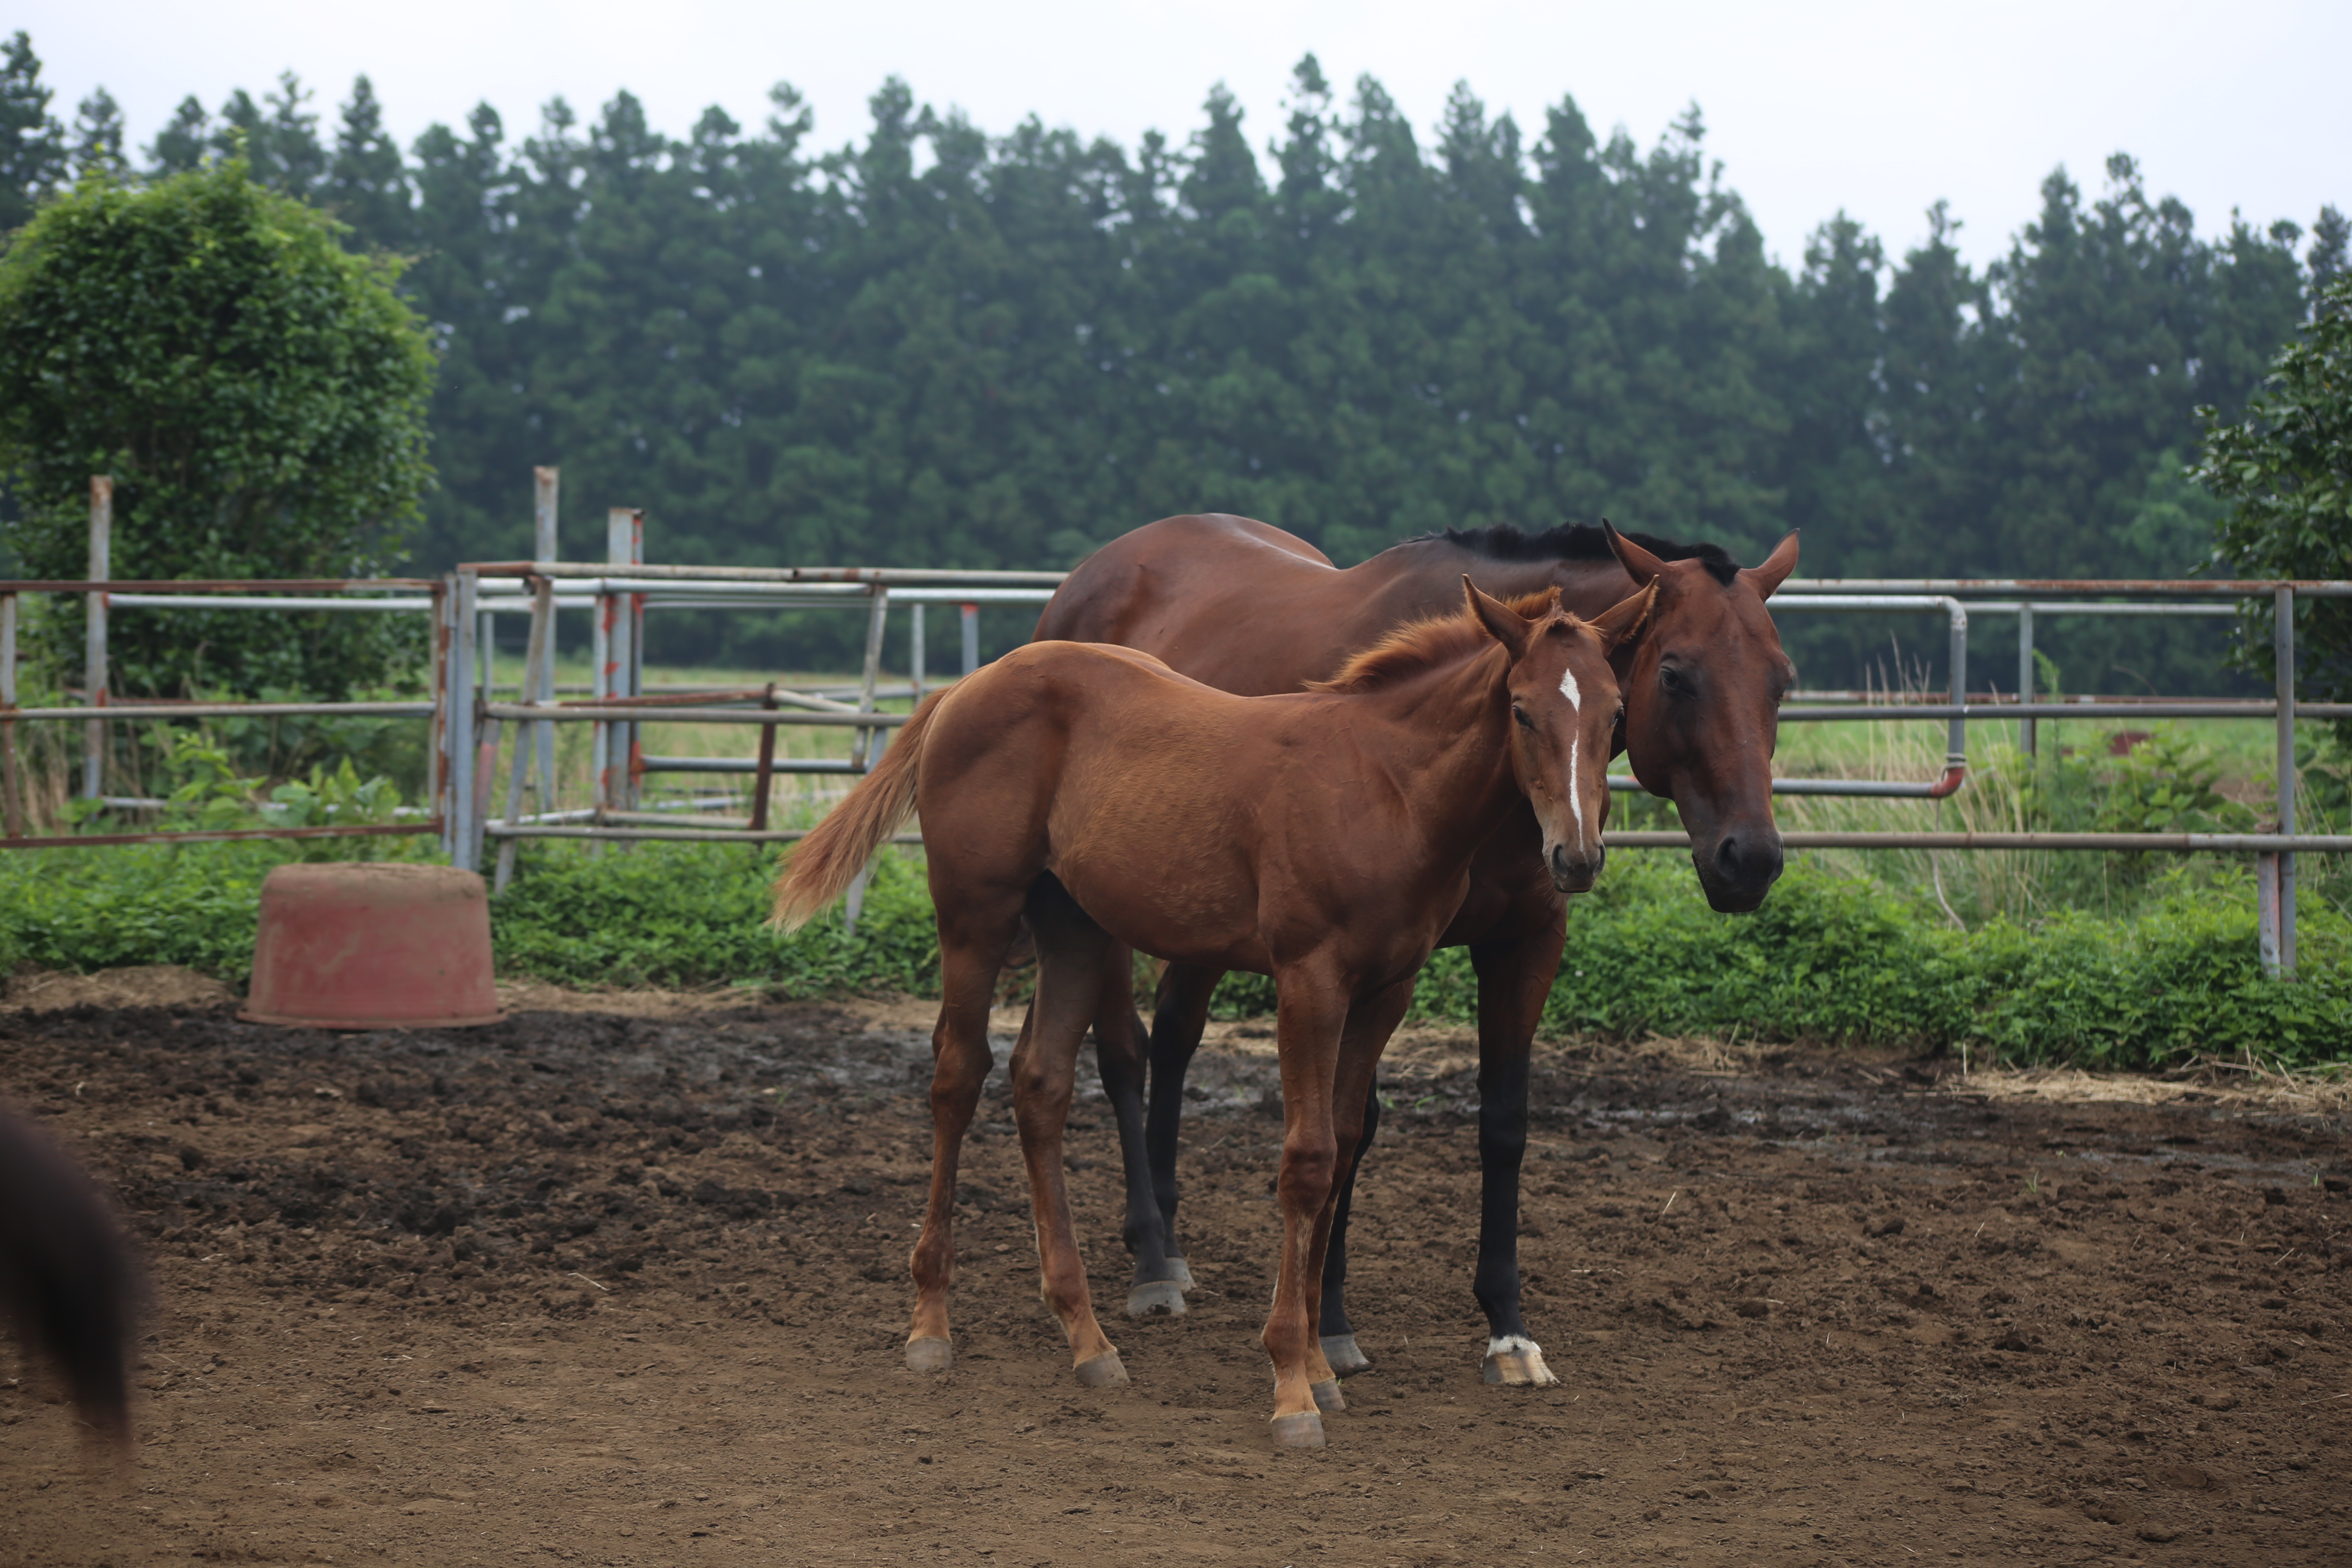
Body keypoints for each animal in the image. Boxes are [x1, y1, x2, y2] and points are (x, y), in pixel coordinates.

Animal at [781, 583, 1646, 1457]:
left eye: (1615, 713)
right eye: (1522, 710)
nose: (1578, 858)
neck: (1384, 785)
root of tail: (966, 687)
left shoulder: (1385, 992)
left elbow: (1341, 1149)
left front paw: (1324, 1368)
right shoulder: (1309, 981)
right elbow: (1307, 1162)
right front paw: (1293, 1382)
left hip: (1075, 928)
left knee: (1041, 1083)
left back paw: (1087, 1337)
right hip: (975, 917)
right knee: (958, 1078)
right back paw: (931, 1323)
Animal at [1035, 514, 1797, 1382]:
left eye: (1782, 681)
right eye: (1674, 675)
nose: (1751, 859)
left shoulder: (1526, 942)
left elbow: (1503, 1123)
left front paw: (1508, 1327)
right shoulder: (1371, 957)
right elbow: (1354, 1126)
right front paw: (1329, 1322)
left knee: (1174, 1040)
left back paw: (1167, 1243)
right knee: (1129, 1051)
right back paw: (1153, 1259)